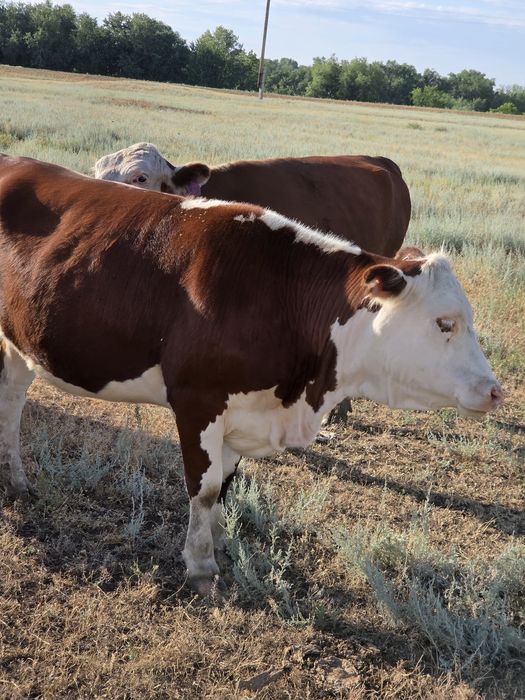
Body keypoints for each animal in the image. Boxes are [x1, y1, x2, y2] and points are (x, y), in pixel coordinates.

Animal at [0, 155, 502, 595]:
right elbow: (204, 488)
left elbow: (226, 482)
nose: (495, 392)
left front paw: (222, 541)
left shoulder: (243, 407)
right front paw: (201, 566)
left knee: (12, 401)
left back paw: (17, 482)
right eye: (445, 323)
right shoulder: (198, 399)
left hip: (19, 341)